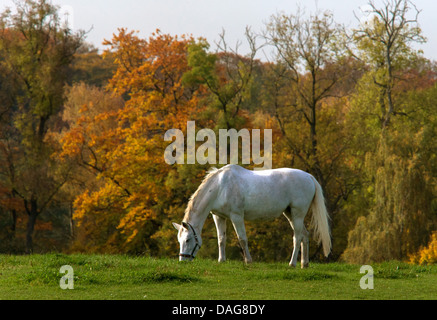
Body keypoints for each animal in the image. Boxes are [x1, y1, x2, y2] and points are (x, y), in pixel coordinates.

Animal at [172, 165, 328, 268]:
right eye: (179, 240)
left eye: (187, 239)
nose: (182, 261)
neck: (220, 187)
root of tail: (308, 176)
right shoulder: (219, 217)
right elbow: (221, 239)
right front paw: (221, 260)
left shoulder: (236, 217)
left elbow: (242, 239)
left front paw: (248, 261)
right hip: (290, 214)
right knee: (305, 235)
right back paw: (304, 264)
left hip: (297, 214)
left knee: (297, 237)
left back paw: (292, 263)